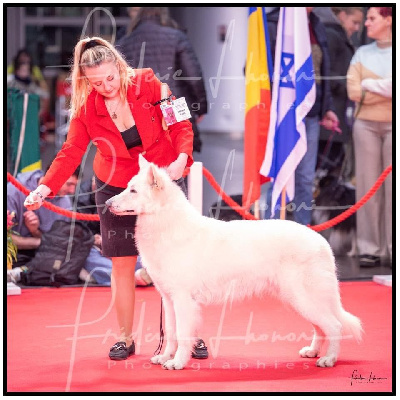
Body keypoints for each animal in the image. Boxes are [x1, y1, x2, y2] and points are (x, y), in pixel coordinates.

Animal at [106, 156, 362, 372]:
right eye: (127, 187)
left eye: (133, 190)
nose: (107, 203)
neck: (167, 224)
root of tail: (322, 242)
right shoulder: (169, 301)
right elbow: (171, 332)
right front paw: (165, 357)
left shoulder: (183, 300)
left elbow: (183, 334)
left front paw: (177, 362)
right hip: (300, 301)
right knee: (321, 327)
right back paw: (313, 352)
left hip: (304, 298)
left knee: (334, 326)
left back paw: (329, 359)